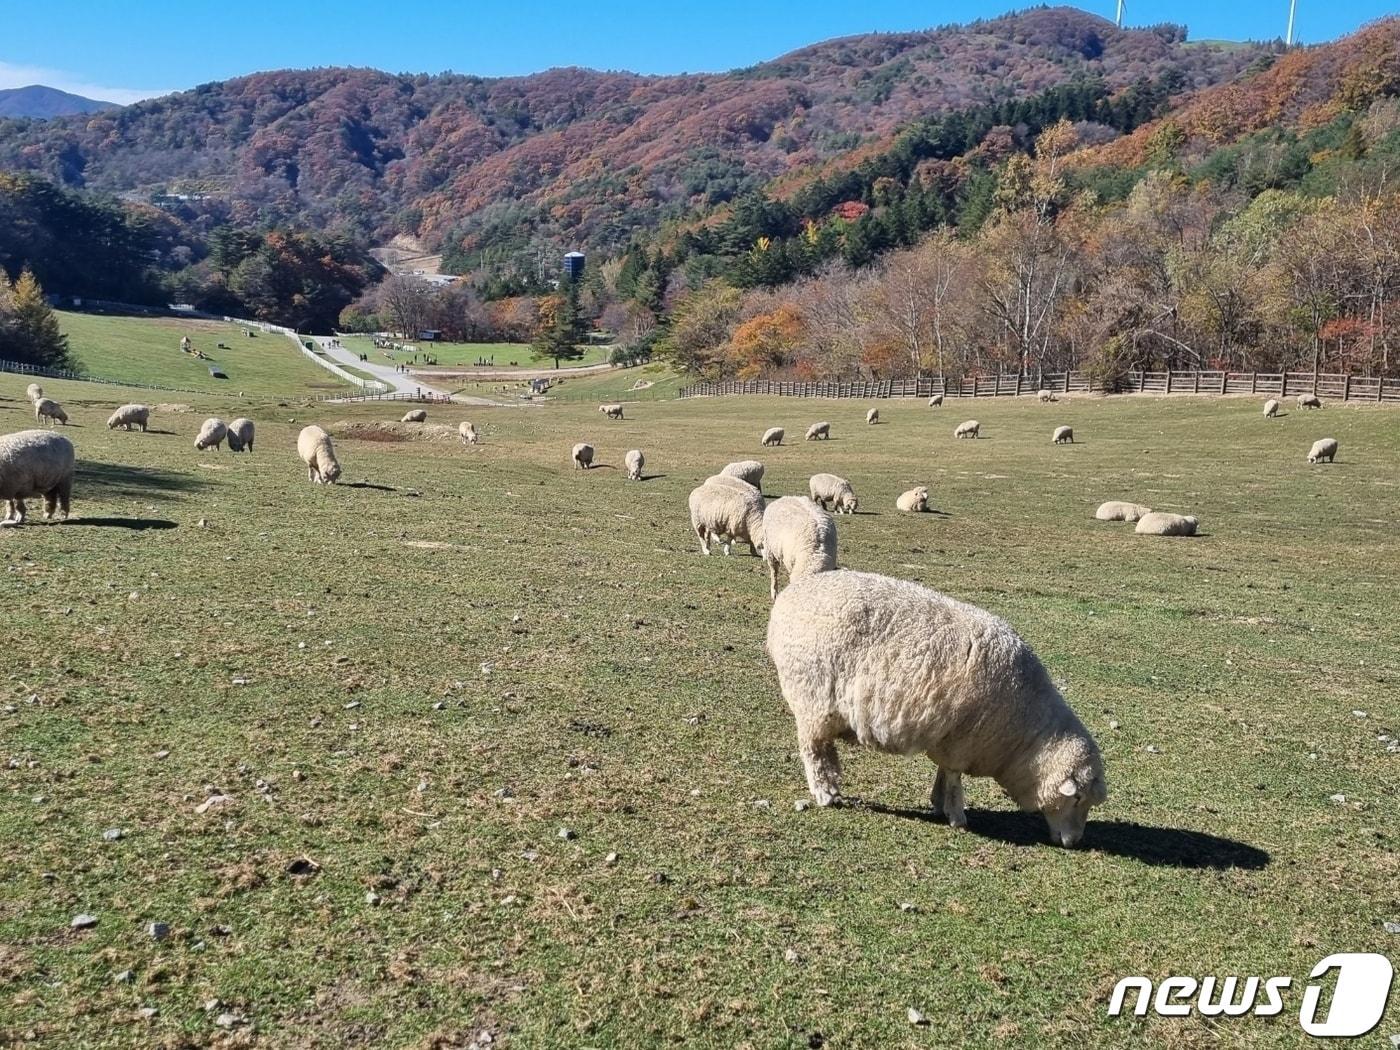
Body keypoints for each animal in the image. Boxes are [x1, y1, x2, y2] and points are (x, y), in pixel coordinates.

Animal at [767, 571, 1103, 851]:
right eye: (1077, 798)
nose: (1074, 842)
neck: (1025, 735)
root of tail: (791, 595)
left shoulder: (951, 738)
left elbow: (945, 772)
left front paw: (939, 802)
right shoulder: (962, 739)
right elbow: (954, 777)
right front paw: (956, 816)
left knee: (824, 750)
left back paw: (833, 787)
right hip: (810, 697)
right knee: (812, 751)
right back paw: (824, 794)